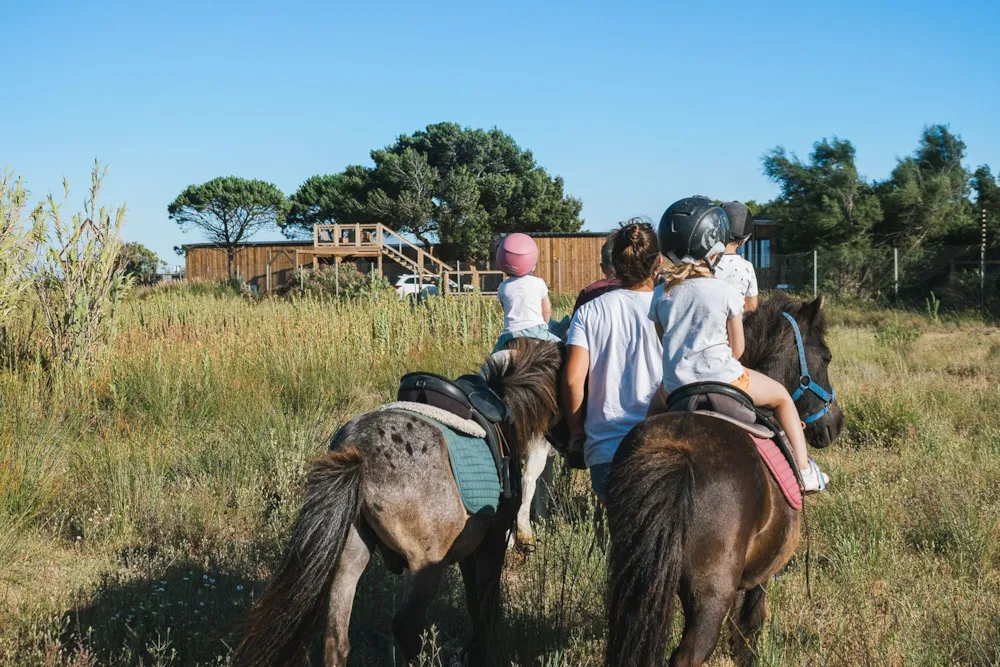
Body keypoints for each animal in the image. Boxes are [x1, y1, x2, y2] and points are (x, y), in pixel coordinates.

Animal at [230, 340, 568, 667]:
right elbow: (484, 606)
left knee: (336, 640)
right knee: (406, 628)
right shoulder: (493, 540)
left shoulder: (471, 548)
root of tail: (359, 452)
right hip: (426, 567)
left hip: (350, 555)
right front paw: (482, 652)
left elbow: (475, 602)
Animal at [600, 298, 844, 667]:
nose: (836, 422)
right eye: (826, 357)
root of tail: (679, 454)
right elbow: (748, 634)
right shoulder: (760, 577)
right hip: (711, 595)